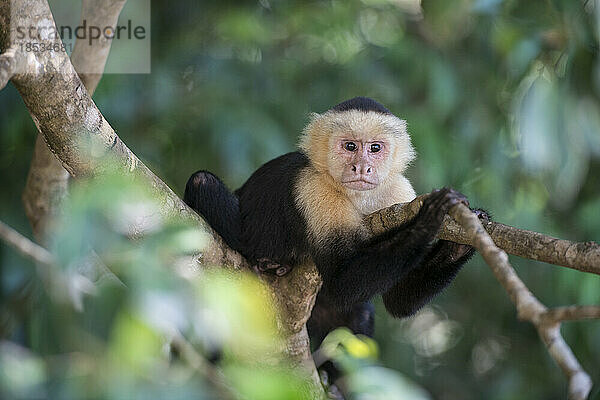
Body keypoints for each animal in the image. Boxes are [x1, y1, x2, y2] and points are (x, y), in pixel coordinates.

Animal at [184, 96, 488, 384]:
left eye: (375, 148)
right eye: (350, 146)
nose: (361, 167)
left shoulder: (400, 193)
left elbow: (397, 301)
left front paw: (465, 236)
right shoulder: (315, 189)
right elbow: (341, 282)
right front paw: (428, 220)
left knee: (358, 313)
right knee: (202, 181)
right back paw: (268, 264)